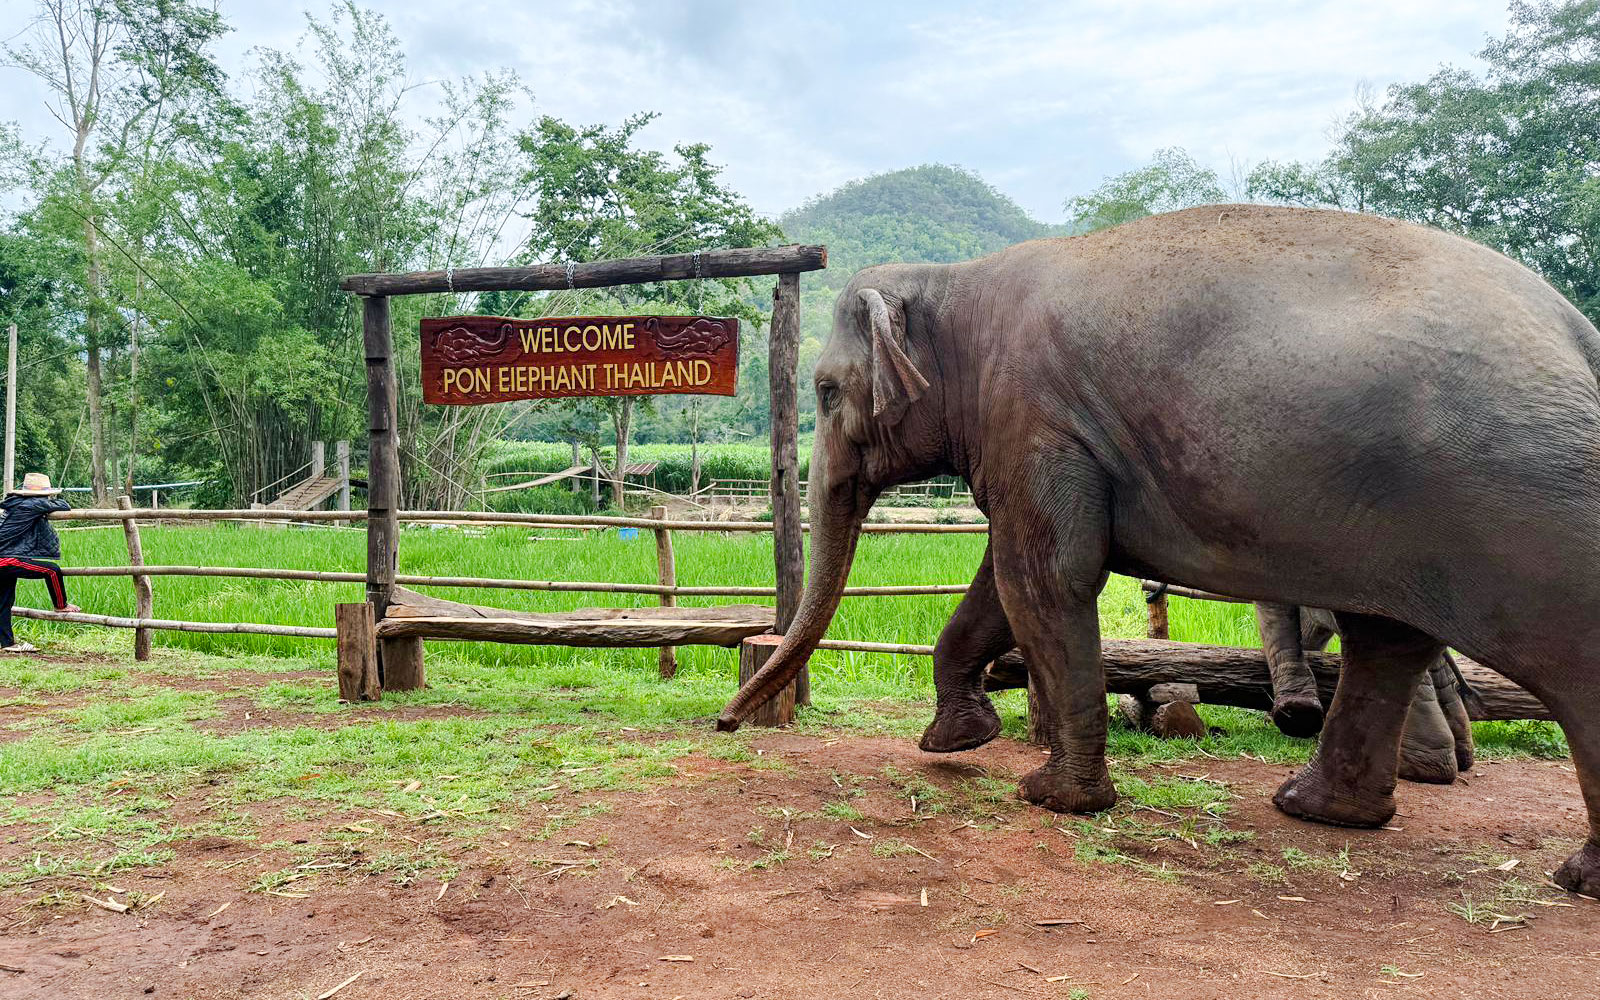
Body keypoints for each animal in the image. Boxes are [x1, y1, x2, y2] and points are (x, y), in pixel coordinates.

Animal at [716, 204, 1600, 896]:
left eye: (826, 390)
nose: (725, 724)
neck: (956, 281)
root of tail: (1579, 332)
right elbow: (1002, 581)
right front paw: (954, 742)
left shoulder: (1034, 416)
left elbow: (1043, 578)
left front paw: (1052, 796)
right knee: (1387, 640)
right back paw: (1313, 808)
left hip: (1528, 509)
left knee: (1560, 663)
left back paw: (1575, 878)